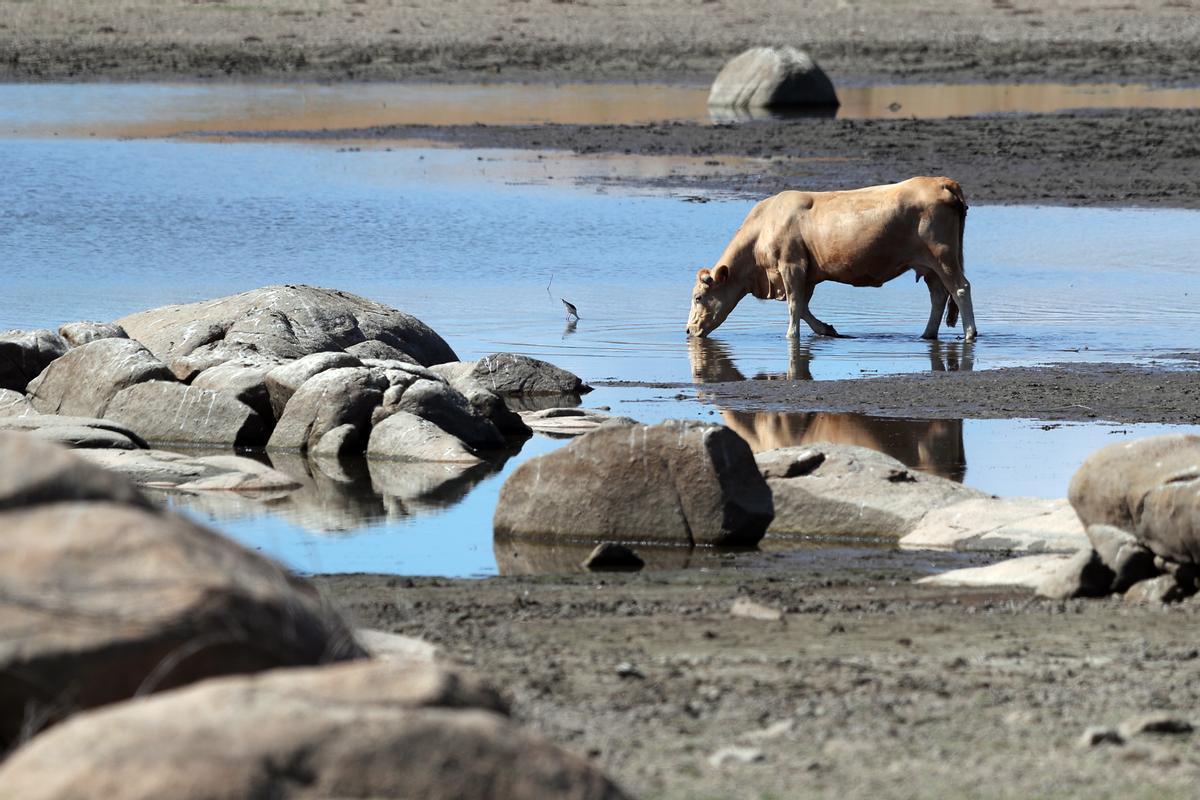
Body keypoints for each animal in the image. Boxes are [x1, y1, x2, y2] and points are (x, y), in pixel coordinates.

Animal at [686, 178, 974, 340]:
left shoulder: (791, 266)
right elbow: (802, 306)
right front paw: (826, 329)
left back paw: (970, 333)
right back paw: (927, 334)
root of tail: (940, 181)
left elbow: (794, 305)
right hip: (928, 265)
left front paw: (791, 336)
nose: (688, 330)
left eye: (698, 297)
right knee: (939, 295)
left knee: (960, 288)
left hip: (942, 255)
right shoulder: (808, 274)